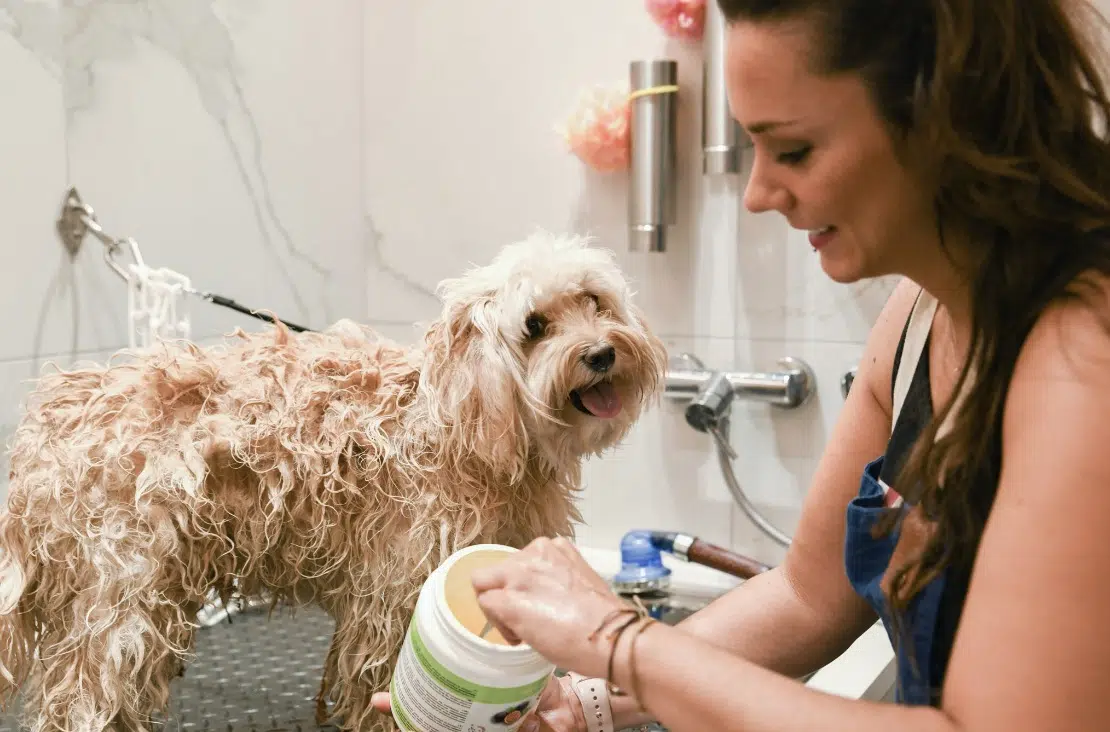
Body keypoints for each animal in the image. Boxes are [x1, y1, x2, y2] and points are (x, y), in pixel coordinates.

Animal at [0, 233, 666, 732]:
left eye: (594, 301)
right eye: (535, 325)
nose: (602, 353)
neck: (462, 427)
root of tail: (47, 425)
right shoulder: (394, 593)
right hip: (120, 597)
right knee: (81, 694)